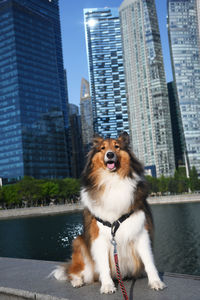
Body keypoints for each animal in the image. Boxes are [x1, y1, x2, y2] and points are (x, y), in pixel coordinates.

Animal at [52, 132, 166, 294]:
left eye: (117, 147)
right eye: (102, 148)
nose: (110, 154)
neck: (113, 180)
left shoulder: (141, 232)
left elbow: (149, 260)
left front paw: (155, 281)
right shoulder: (98, 237)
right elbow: (104, 265)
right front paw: (107, 285)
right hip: (79, 242)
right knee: (74, 272)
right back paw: (77, 281)